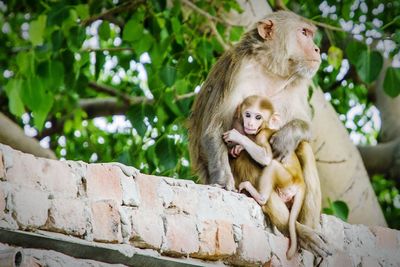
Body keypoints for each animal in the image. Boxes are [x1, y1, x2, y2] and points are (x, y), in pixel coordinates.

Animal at [223, 96, 304, 260]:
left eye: (258, 117)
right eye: (248, 115)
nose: (250, 124)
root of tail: (301, 183)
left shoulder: (261, 136)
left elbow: (266, 158)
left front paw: (238, 138)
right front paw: (238, 147)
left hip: (287, 180)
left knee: (271, 165)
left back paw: (258, 196)